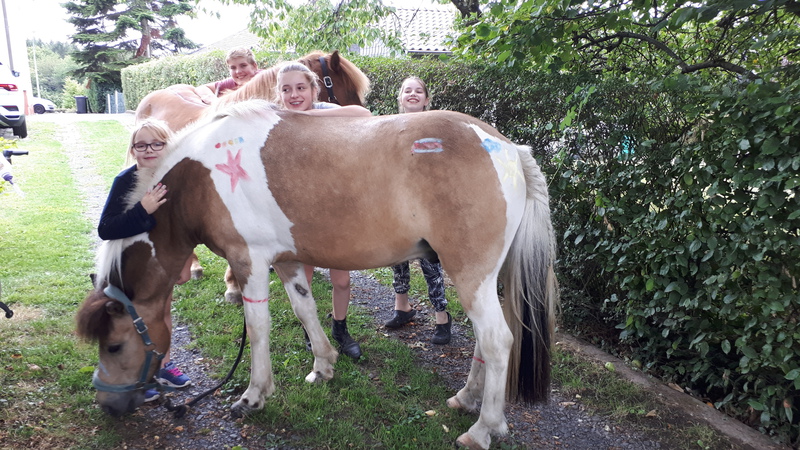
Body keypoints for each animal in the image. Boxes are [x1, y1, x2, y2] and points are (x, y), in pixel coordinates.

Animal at [76, 99, 558, 450]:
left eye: (115, 344)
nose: (107, 406)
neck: (199, 178)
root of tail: (508, 148)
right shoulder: (286, 260)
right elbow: (304, 309)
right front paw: (324, 366)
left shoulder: (248, 261)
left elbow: (258, 327)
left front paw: (253, 396)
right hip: (482, 278)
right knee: (485, 341)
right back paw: (467, 399)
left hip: (469, 273)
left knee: (497, 341)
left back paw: (483, 428)